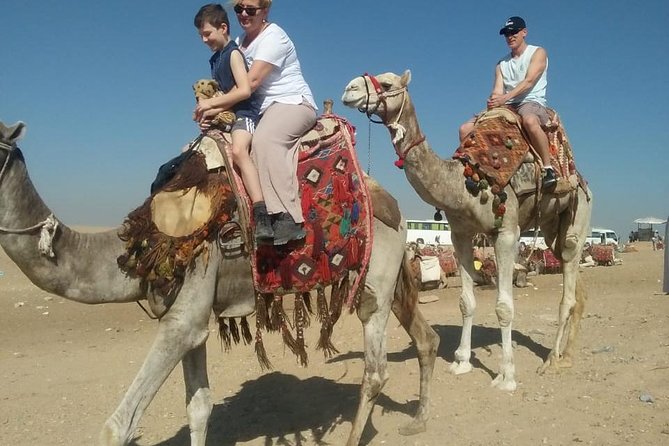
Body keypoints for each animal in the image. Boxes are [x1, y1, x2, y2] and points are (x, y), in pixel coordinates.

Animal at [0, 120, 439, 445]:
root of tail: (394, 206)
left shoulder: (185, 312)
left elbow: (118, 426)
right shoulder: (190, 320)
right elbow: (199, 407)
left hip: (375, 279)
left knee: (375, 368)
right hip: (386, 279)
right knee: (423, 336)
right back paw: (417, 420)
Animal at [342, 71, 592, 391]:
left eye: (387, 84)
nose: (349, 89)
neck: (465, 183)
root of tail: (580, 179)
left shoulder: (507, 232)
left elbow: (504, 307)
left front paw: (507, 376)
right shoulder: (460, 234)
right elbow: (466, 302)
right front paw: (461, 362)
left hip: (578, 212)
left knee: (569, 283)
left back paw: (551, 360)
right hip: (551, 228)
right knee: (574, 281)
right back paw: (568, 355)